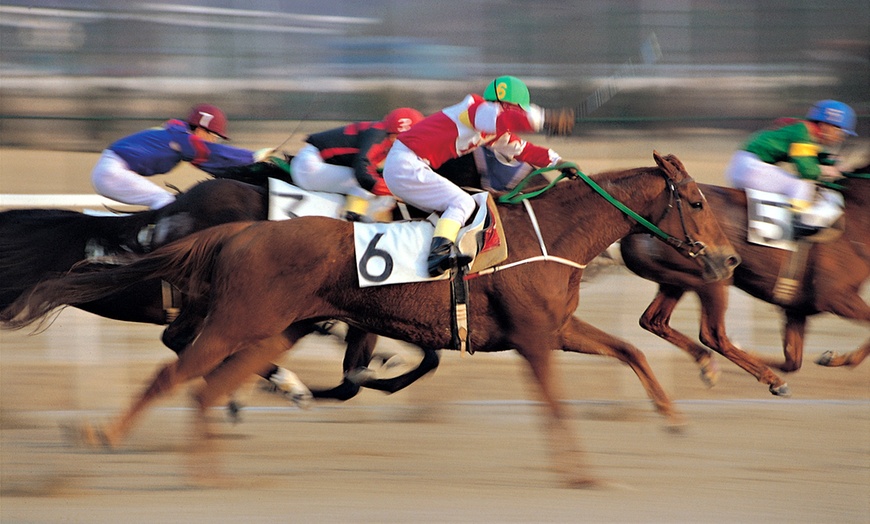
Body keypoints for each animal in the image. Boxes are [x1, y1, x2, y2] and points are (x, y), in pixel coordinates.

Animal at [1, 152, 744, 488]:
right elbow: (557, 404)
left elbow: (631, 352)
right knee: (174, 373)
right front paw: (582, 474)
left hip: (268, 329)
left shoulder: (554, 329)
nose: (729, 259)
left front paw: (675, 416)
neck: (548, 232)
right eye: (697, 201)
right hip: (239, 322)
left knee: (206, 387)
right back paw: (105, 436)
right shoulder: (536, 339)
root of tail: (235, 231)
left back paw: (216, 460)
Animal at [624, 164, 868, 392]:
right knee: (712, 335)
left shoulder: (797, 308)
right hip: (713, 278)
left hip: (676, 281)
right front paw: (838, 358)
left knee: (653, 320)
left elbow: (792, 361)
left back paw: (711, 364)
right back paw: (764, 377)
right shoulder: (835, 297)